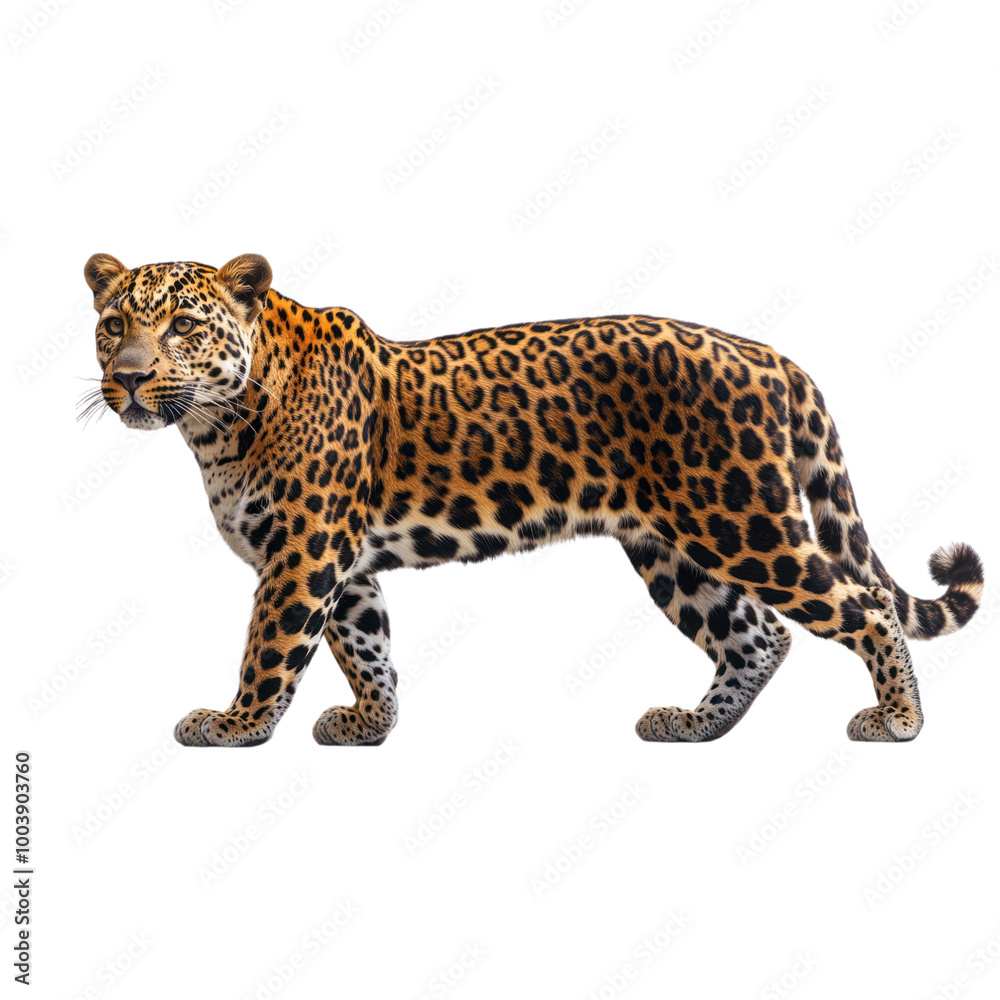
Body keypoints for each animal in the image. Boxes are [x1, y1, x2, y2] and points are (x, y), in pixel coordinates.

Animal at [81, 252, 984, 747]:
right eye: (114, 322)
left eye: (183, 327)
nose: (125, 376)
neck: (217, 424)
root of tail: (775, 357)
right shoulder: (342, 562)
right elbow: (366, 646)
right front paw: (370, 725)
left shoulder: (303, 554)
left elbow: (271, 650)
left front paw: (234, 725)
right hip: (674, 547)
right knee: (756, 637)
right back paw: (693, 725)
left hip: (744, 522)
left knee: (864, 605)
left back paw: (899, 721)